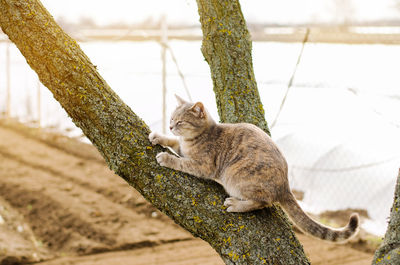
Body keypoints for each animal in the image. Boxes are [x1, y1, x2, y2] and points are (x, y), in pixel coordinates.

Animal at [149, 95, 360, 241]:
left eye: (180, 121)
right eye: (171, 118)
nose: (170, 126)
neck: (197, 138)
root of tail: (285, 185)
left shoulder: (203, 165)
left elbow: (181, 162)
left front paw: (166, 158)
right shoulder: (183, 147)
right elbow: (174, 143)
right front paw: (158, 137)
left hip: (234, 175)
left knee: (263, 202)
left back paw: (236, 205)